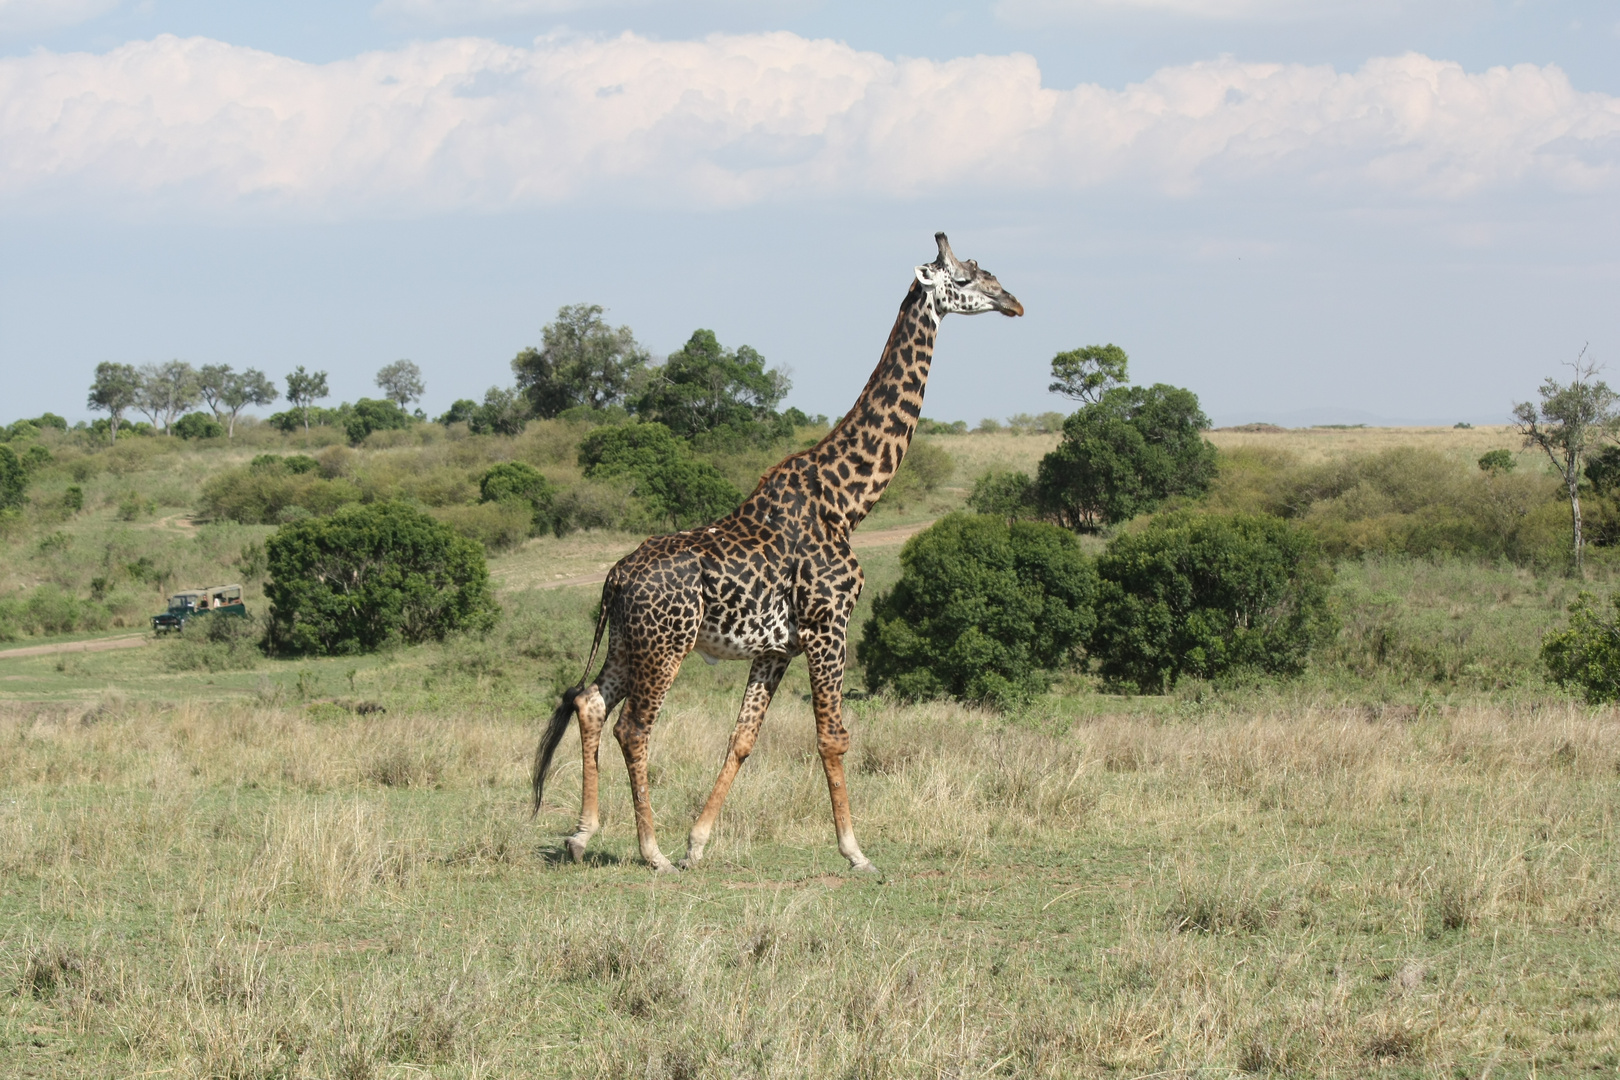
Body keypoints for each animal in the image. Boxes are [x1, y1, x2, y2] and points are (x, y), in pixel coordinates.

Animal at [531, 233, 1017, 874]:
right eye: (964, 277)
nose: (1013, 301)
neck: (847, 501)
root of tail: (614, 576)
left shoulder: (777, 647)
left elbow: (743, 738)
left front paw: (699, 842)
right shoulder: (829, 624)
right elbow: (833, 737)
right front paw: (855, 851)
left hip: (628, 639)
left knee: (590, 703)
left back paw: (582, 835)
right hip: (667, 644)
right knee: (634, 727)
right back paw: (651, 851)